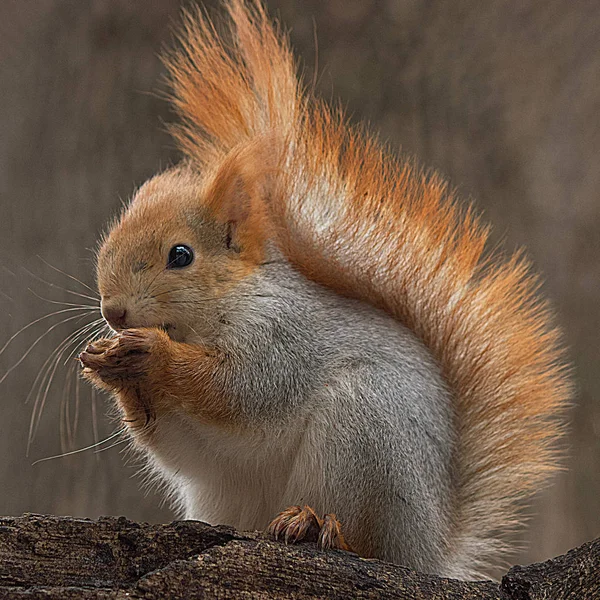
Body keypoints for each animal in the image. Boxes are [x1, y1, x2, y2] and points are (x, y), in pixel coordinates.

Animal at [77, 0, 568, 580]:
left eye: (181, 256)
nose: (114, 311)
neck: (215, 311)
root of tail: (430, 550)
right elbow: (178, 443)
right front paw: (111, 368)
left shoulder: (282, 337)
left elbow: (238, 388)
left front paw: (152, 354)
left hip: (365, 434)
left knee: (364, 540)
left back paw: (315, 526)